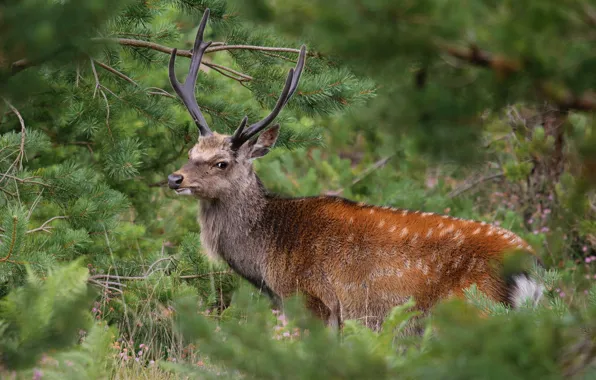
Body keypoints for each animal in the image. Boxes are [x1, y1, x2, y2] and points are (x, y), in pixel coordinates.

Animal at [164, 8, 544, 330]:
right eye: (191, 151)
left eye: (221, 162)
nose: (174, 178)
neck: (266, 260)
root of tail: (532, 270)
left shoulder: (314, 301)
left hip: (473, 310)